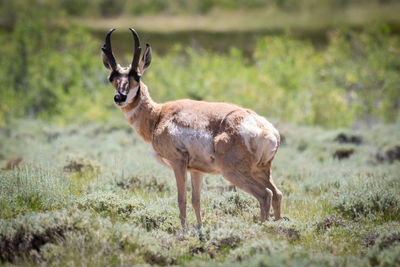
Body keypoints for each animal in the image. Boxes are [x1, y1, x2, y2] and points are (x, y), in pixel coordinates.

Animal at [103, 27, 282, 232]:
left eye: (137, 76)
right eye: (111, 77)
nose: (120, 97)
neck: (159, 115)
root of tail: (265, 129)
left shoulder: (178, 163)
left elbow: (182, 200)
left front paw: (182, 233)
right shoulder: (196, 170)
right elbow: (196, 201)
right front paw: (199, 231)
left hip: (233, 172)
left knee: (265, 195)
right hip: (261, 171)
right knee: (277, 194)